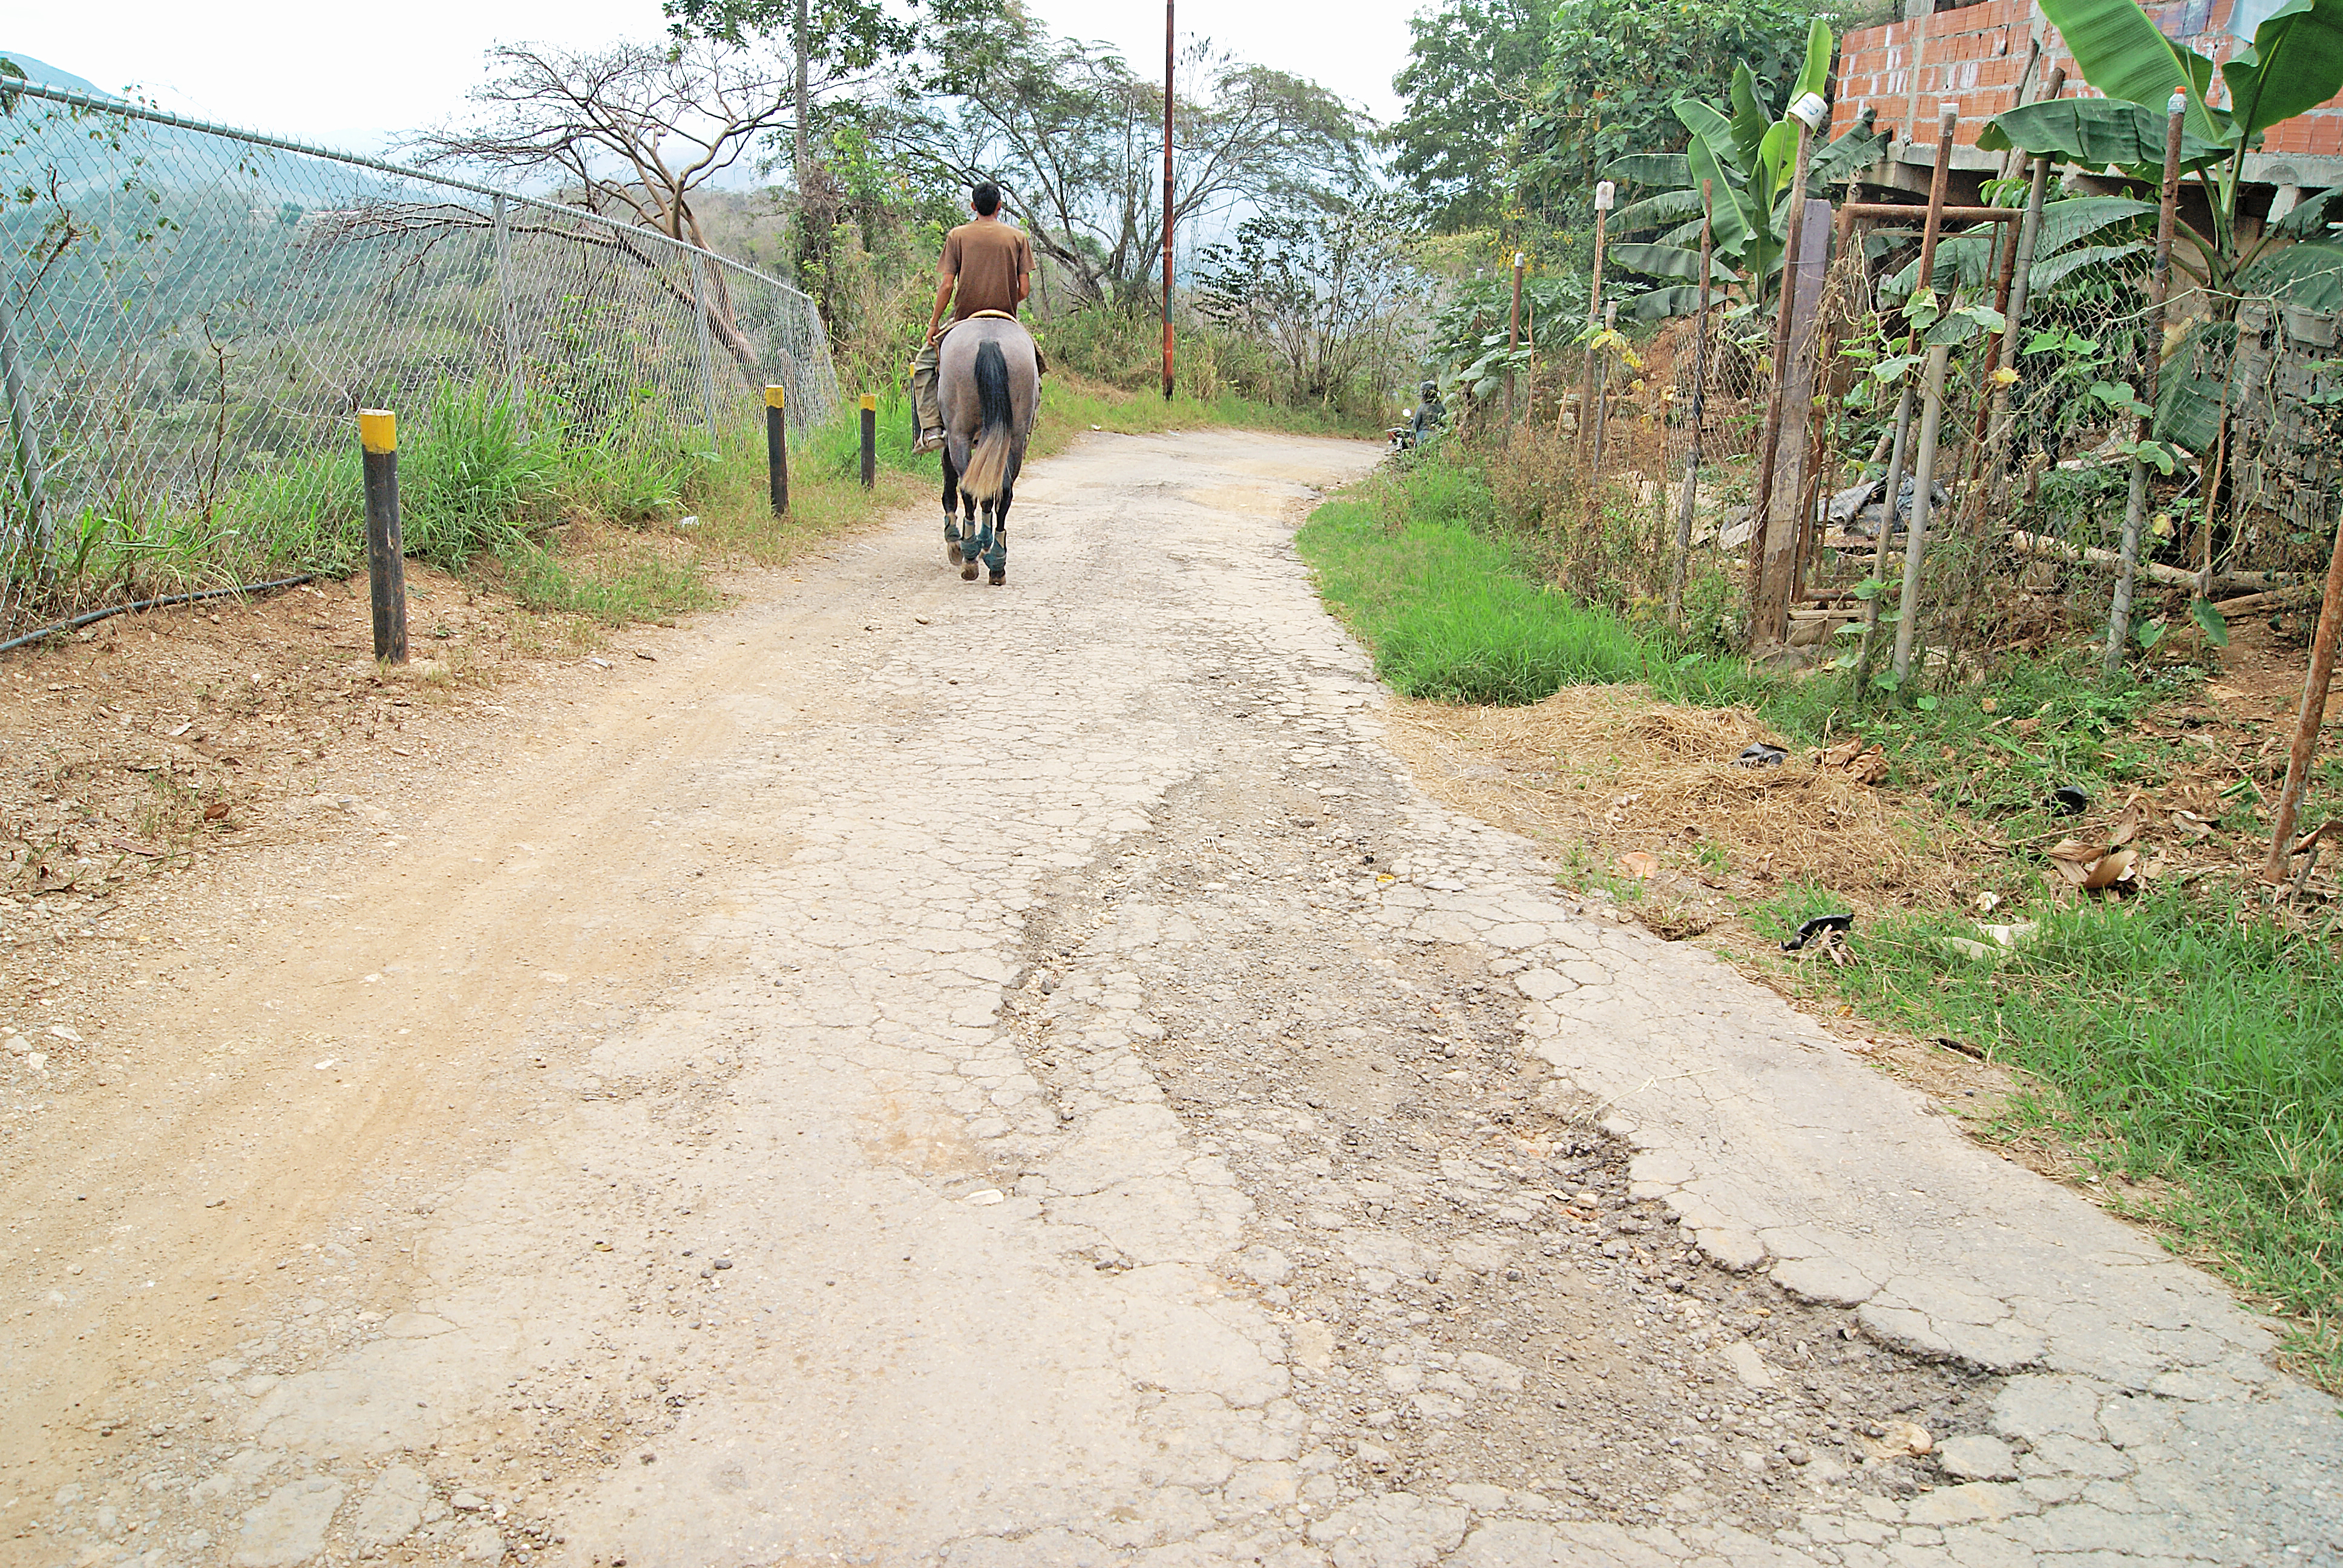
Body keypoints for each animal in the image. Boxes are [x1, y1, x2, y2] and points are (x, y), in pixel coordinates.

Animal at [937, 314, 1040, 583]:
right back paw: (997, 562)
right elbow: (987, 495)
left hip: (959, 434)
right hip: (1014, 438)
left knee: (966, 488)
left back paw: (969, 555)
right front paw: (985, 542)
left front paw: (955, 541)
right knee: (1004, 491)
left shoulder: (950, 438)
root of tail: (989, 340)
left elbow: (952, 487)